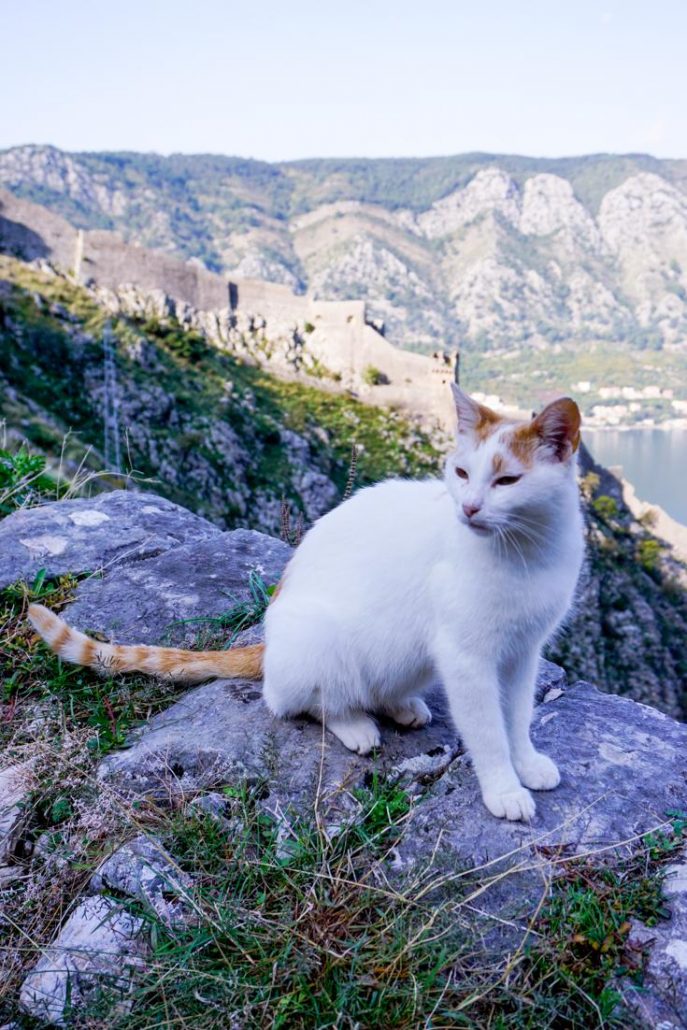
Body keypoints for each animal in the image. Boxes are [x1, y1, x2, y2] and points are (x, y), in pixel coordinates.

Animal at [29, 389, 585, 824]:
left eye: (507, 481)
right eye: (462, 472)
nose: (467, 508)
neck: (524, 553)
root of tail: (269, 639)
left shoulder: (523, 651)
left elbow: (517, 715)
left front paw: (526, 762)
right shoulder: (467, 658)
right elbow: (487, 731)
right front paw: (504, 789)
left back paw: (401, 706)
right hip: (319, 636)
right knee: (296, 699)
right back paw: (354, 724)